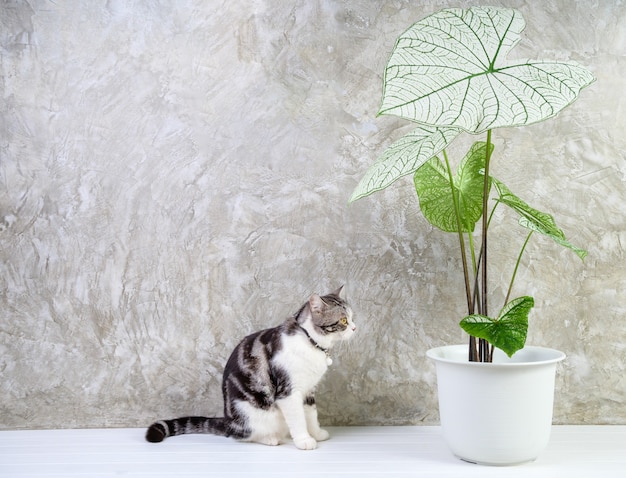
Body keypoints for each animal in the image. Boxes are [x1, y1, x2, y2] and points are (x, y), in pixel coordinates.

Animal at [143, 286, 354, 450]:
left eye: (352, 318)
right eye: (344, 321)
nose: (355, 328)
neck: (310, 342)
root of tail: (228, 422)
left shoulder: (308, 390)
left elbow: (311, 414)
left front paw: (316, 434)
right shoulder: (288, 392)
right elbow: (298, 419)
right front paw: (304, 440)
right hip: (251, 414)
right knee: (244, 436)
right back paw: (270, 439)